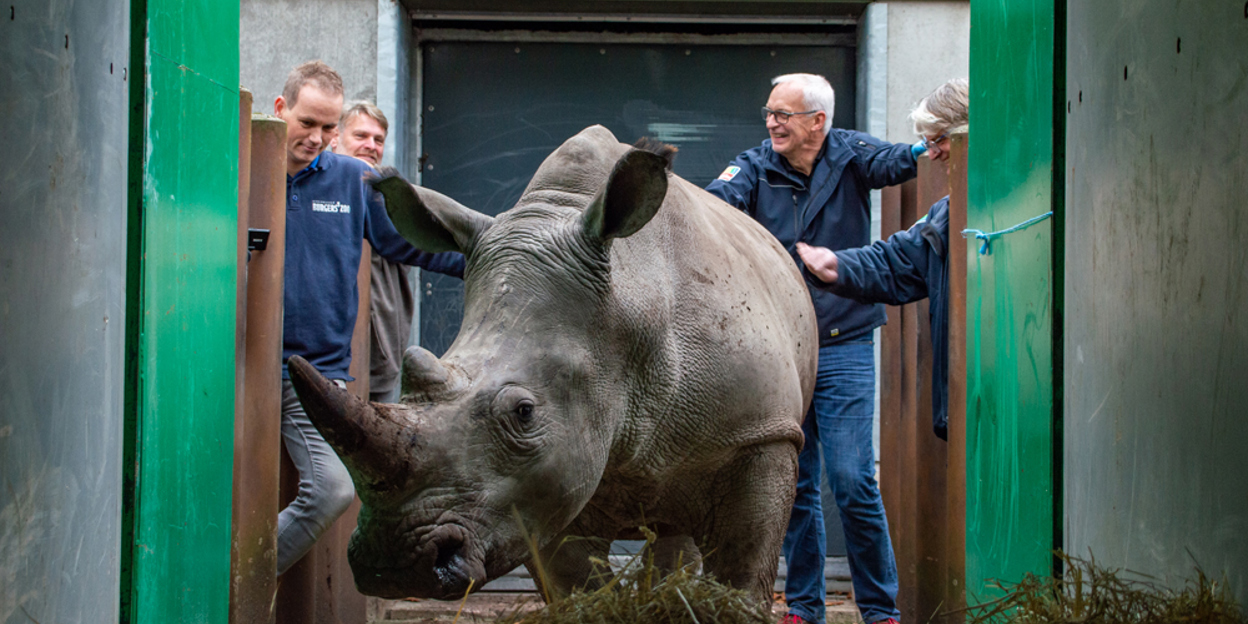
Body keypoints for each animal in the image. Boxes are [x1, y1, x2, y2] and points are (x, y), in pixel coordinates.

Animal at [287, 125, 817, 604]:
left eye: (524, 412)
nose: (395, 564)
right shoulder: (541, 488)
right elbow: (575, 588)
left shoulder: (760, 433)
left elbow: (742, 576)